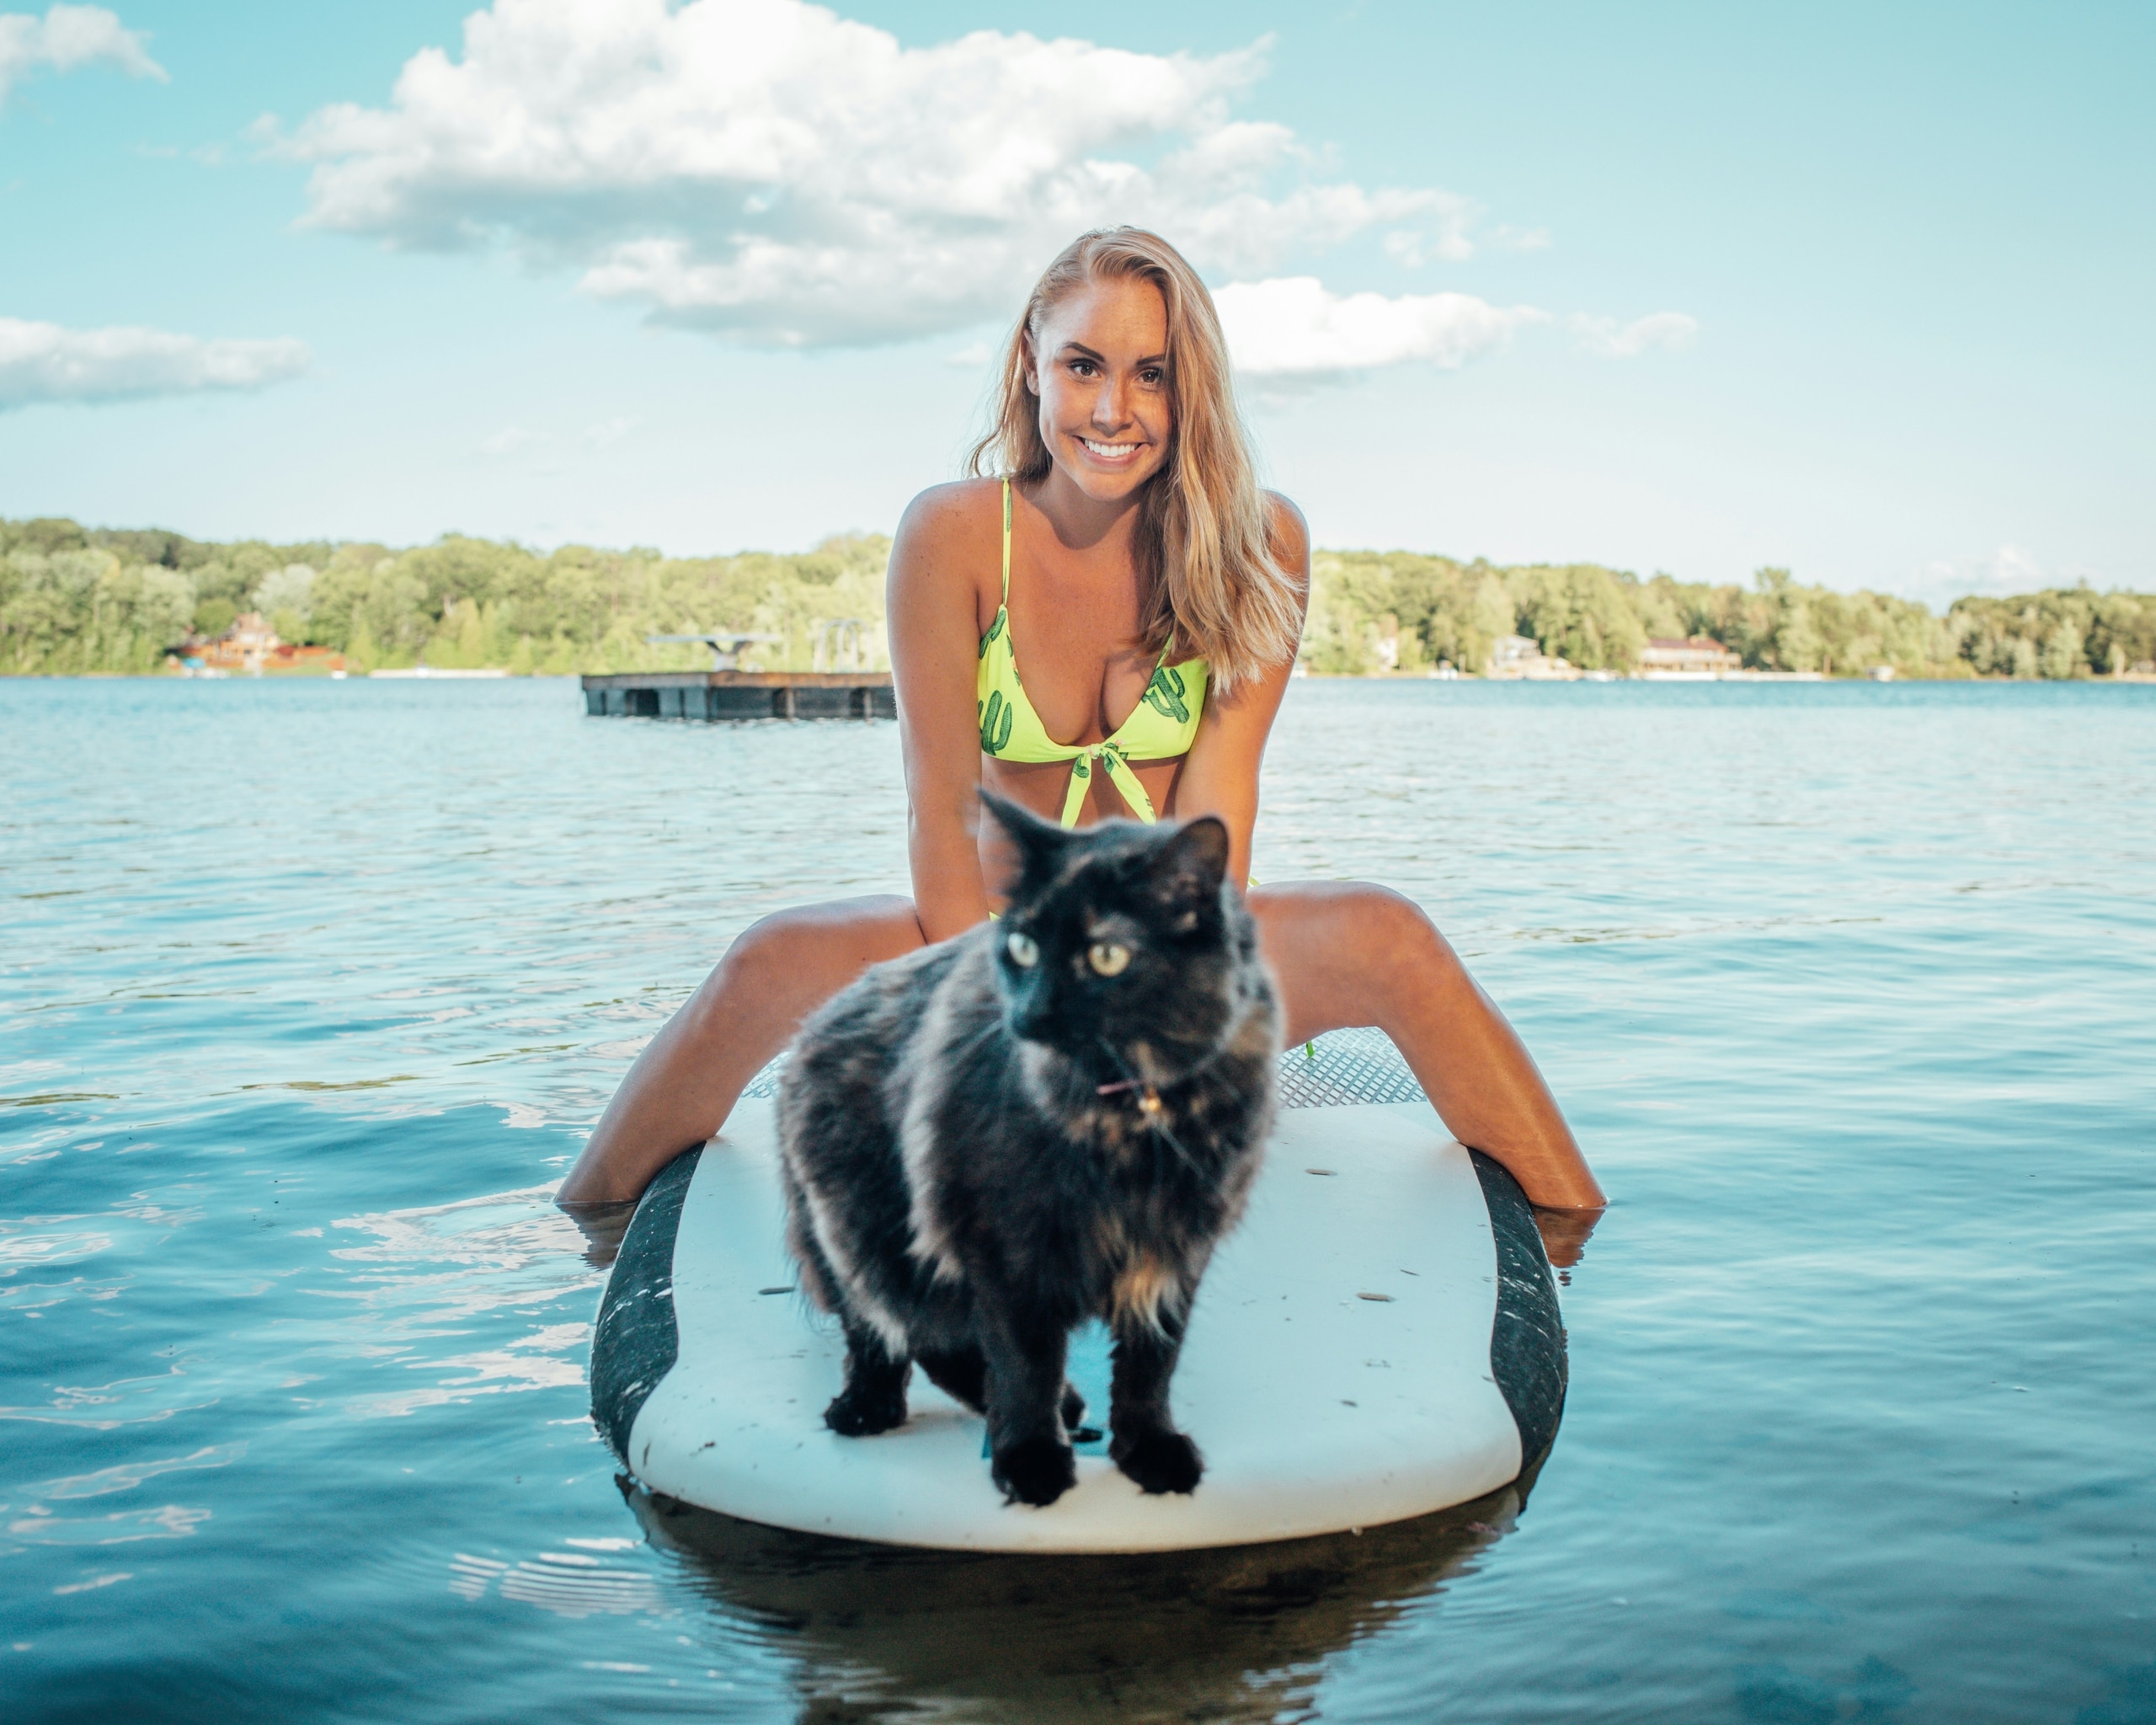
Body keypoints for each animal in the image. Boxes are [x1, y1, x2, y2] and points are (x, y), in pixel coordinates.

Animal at [776, 793, 1276, 1509]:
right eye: (1022, 946)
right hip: (860, 1233)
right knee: (889, 1333)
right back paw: (869, 1407)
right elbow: (1024, 1366)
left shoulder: (1175, 1250)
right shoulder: (1009, 1251)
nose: (1029, 1015)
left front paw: (1149, 1452)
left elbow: (1150, 1369)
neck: (1128, 1117)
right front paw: (1032, 1461)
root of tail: (814, 1025)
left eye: (1105, 957)